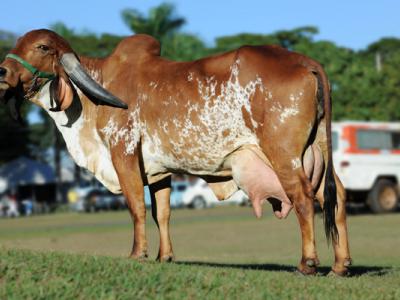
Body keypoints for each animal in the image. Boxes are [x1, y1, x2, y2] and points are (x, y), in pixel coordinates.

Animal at [0, 29, 350, 276]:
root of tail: (306, 62)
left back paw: (308, 263)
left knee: (303, 198)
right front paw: (164, 256)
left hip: (283, 155)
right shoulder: (158, 171)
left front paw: (137, 254)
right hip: (317, 153)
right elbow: (162, 212)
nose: (2, 71)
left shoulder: (123, 151)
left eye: (42, 47)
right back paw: (340, 265)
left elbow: (136, 207)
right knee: (335, 197)